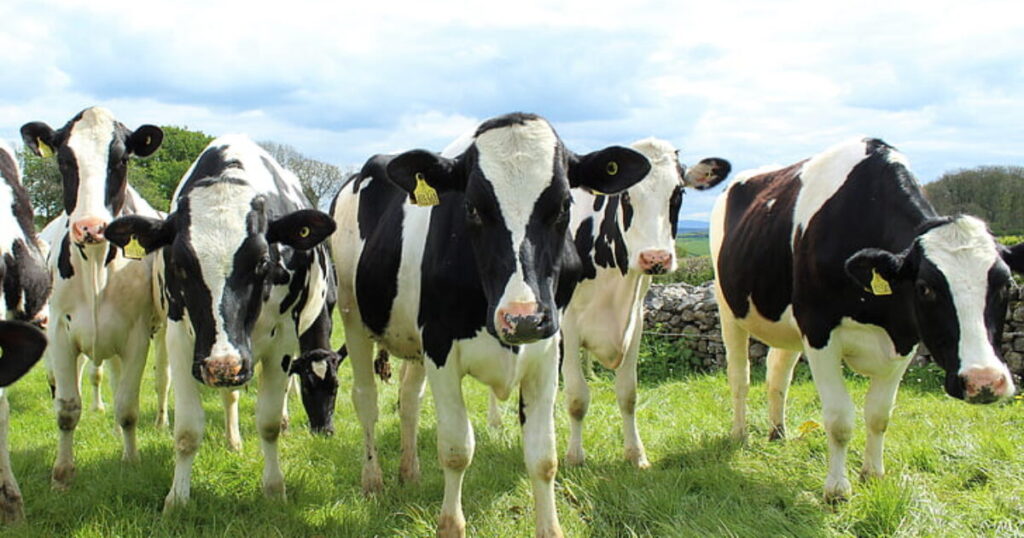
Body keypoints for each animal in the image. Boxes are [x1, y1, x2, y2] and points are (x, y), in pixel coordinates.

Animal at [21, 107, 165, 490]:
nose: (90, 227)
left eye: (121, 159)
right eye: (64, 160)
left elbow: (128, 406)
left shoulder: (137, 335)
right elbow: (67, 407)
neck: (97, 265)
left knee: (157, 380)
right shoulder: (59, 331)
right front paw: (61, 474)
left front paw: (131, 460)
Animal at [104, 134, 337, 511]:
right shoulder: (183, 341)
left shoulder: (283, 342)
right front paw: (177, 498)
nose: (222, 364)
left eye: (261, 261)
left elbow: (269, 422)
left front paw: (274, 489)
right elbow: (187, 430)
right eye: (180, 264)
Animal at [331, 112, 651, 537]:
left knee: (409, 400)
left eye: (564, 205)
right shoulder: (441, 349)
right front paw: (450, 526)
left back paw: (410, 472)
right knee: (366, 400)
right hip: (353, 317)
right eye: (471, 208)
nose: (522, 317)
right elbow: (456, 449)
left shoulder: (548, 350)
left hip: (412, 341)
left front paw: (550, 527)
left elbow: (543, 456)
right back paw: (373, 480)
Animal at [560, 138, 730, 468]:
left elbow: (628, 393)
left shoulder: (635, 322)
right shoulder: (568, 324)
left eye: (678, 193)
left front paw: (636, 454)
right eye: (625, 195)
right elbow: (576, 397)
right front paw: (574, 457)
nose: (655, 258)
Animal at [709, 137, 1022, 502]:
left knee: (777, 373)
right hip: (729, 308)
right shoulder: (819, 330)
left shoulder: (905, 339)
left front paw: (873, 475)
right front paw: (836, 489)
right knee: (740, 377)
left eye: (1007, 285)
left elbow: (879, 414)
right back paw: (740, 433)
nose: (984, 381)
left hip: (786, 322)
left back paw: (777, 432)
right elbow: (839, 418)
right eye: (925, 288)